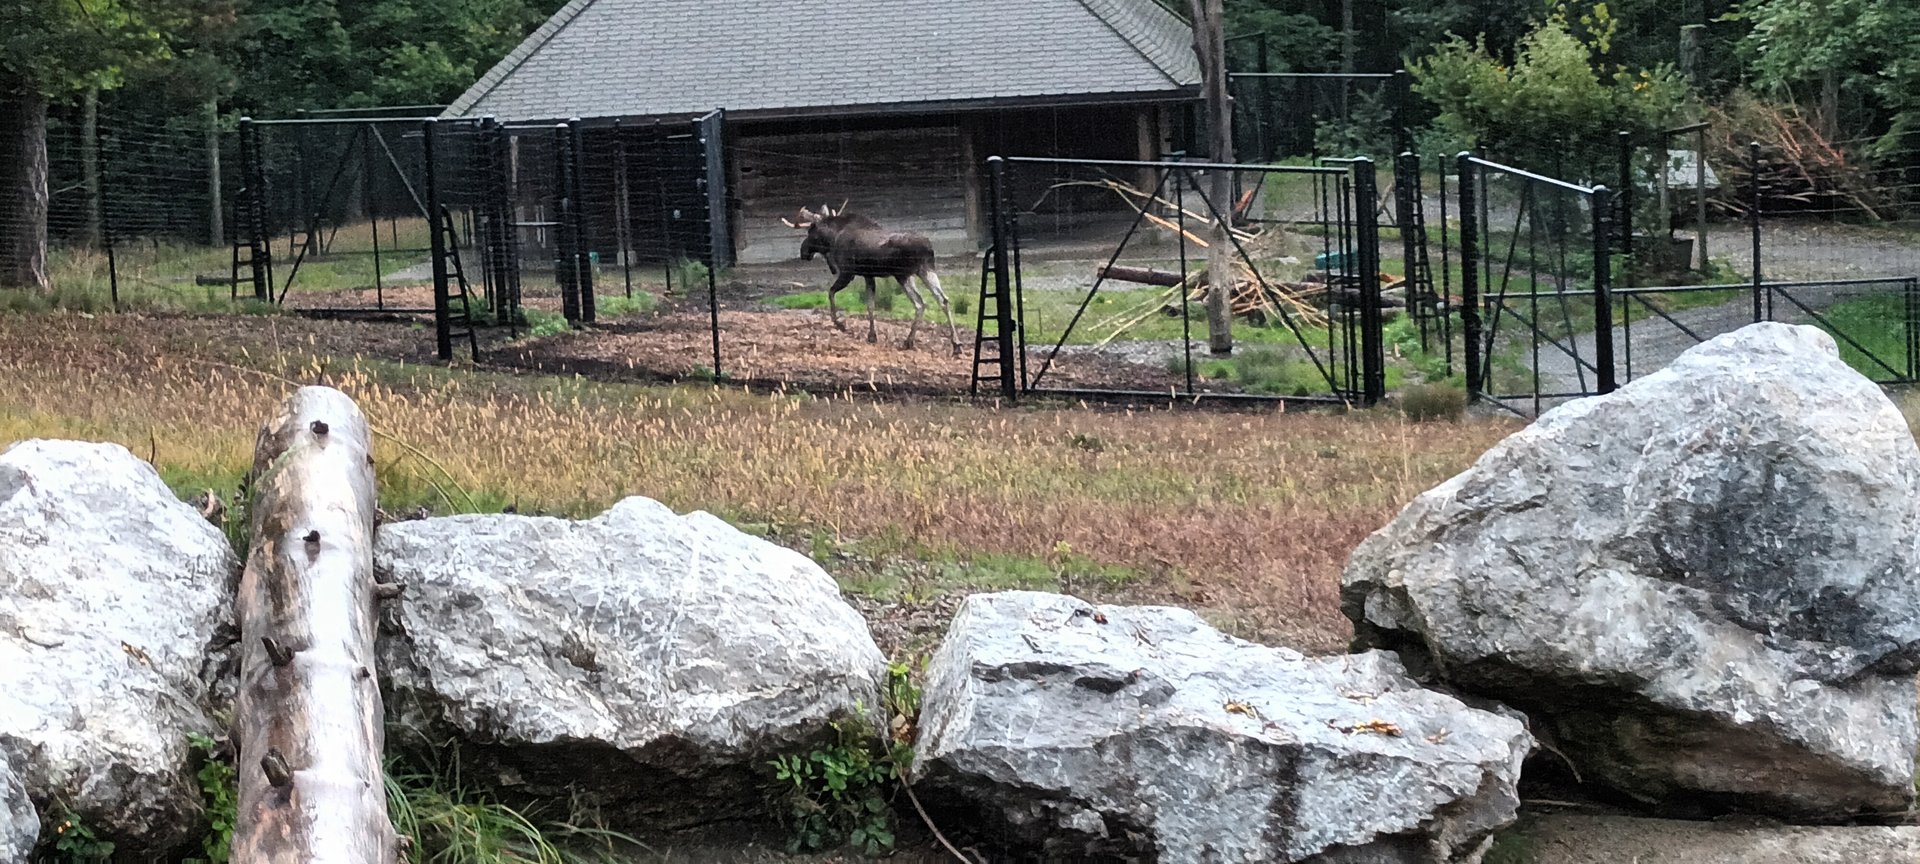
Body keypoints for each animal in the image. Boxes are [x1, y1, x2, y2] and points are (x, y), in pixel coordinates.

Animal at [783, 204, 960, 355]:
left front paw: (839, 324)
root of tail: (928, 248)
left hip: (903, 275)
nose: (803, 252)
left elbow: (831, 292)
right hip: (925, 270)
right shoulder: (868, 275)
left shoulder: (848, 272)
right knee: (943, 300)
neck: (834, 238)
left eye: (810, 232)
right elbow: (870, 305)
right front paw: (872, 335)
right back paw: (956, 344)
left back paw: (909, 341)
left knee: (920, 303)